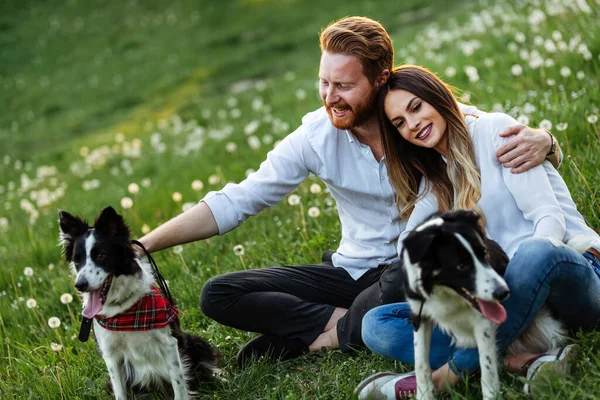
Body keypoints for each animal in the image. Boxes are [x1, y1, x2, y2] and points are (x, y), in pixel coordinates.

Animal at [57, 208, 218, 398]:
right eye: (77, 260)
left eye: (101, 255)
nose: (80, 285)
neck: (123, 310)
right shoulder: (111, 355)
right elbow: (120, 392)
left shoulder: (170, 343)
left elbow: (179, 385)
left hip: (194, 343)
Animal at [400, 211, 564, 398]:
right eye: (461, 265)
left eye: (484, 253)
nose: (503, 292)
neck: (446, 294)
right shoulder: (419, 314)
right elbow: (420, 362)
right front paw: (424, 395)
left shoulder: (483, 322)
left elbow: (487, 366)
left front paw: (491, 395)